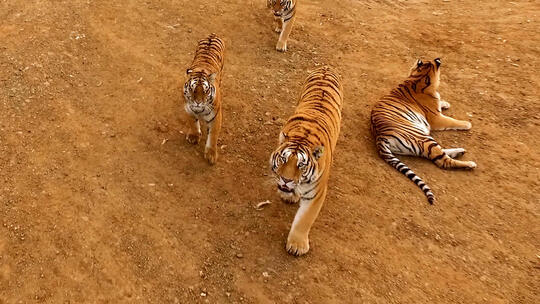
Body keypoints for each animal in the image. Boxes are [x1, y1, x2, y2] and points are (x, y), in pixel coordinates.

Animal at [181, 33, 224, 164]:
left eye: (205, 91)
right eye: (193, 89)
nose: (198, 102)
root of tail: (213, 34)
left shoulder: (216, 116)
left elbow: (213, 136)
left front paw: (211, 155)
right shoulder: (188, 109)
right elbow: (193, 123)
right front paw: (194, 136)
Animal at [268, 67, 342, 256]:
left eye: (301, 165)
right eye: (283, 159)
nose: (286, 180)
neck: (303, 138)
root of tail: (326, 67)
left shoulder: (317, 194)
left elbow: (305, 219)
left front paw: (297, 245)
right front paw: (289, 195)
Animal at [372, 57, 476, 204]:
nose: (418, 59)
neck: (416, 79)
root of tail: (380, 137)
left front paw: (445, 103)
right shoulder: (437, 119)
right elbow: (452, 121)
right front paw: (467, 123)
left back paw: (460, 151)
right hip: (423, 138)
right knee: (443, 161)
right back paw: (470, 163)